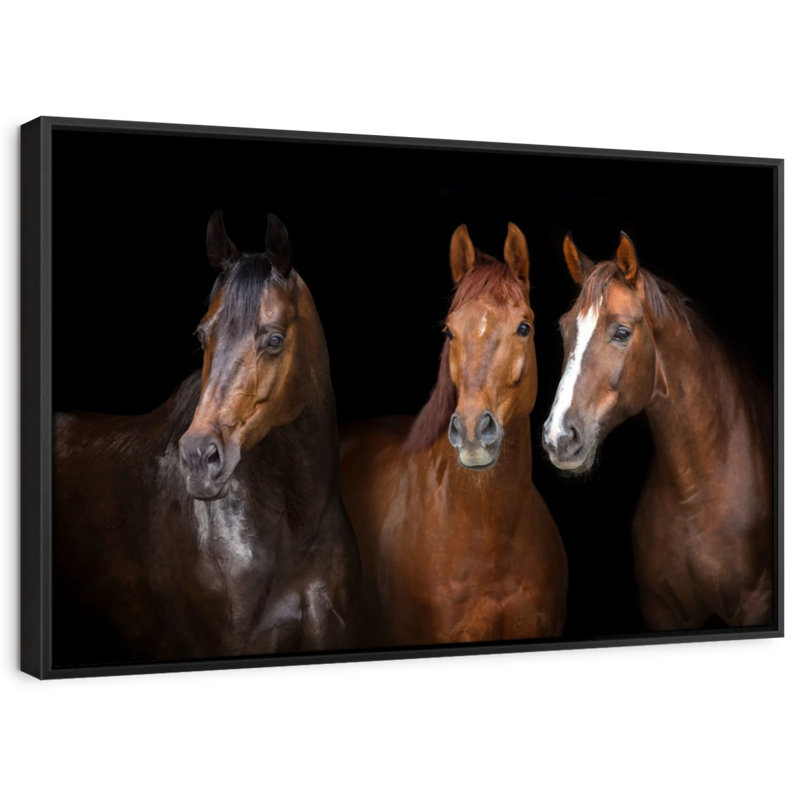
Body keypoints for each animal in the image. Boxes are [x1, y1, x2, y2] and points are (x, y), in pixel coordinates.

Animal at [542, 231, 772, 630]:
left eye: (622, 332)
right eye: (563, 327)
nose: (559, 437)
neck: (696, 492)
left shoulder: (756, 603)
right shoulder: (662, 609)